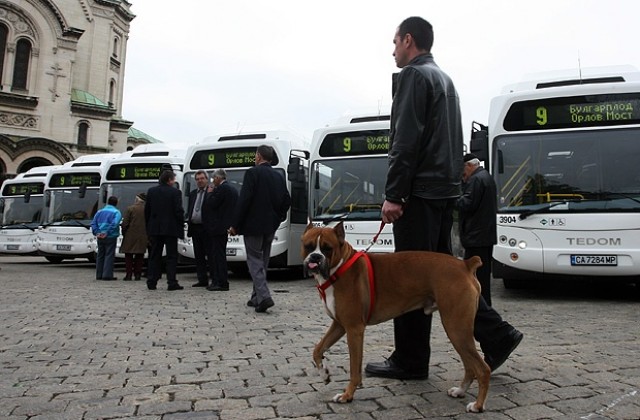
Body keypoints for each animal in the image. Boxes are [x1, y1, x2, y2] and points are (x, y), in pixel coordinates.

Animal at [302, 221, 490, 412]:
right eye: (308, 246)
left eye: (327, 248)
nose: (315, 257)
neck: (340, 267)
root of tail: (465, 264)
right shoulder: (339, 325)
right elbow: (317, 349)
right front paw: (324, 373)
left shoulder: (354, 330)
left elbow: (354, 368)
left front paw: (347, 395)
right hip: (457, 331)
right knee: (470, 366)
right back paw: (460, 391)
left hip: (456, 328)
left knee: (482, 369)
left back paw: (478, 405)